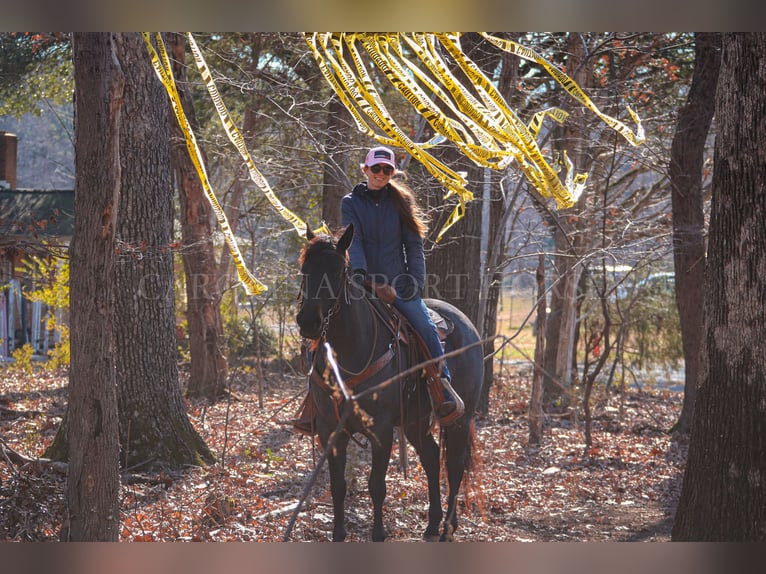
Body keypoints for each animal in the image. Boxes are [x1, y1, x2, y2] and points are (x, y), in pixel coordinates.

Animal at [296, 223, 484, 544]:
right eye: (305, 269)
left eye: (339, 271)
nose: (308, 321)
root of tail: (467, 325)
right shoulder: (329, 430)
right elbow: (338, 486)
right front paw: (338, 534)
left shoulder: (381, 430)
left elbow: (376, 485)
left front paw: (379, 533)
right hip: (415, 422)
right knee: (432, 458)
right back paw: (432, 525)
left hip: (460, 418)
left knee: (454, 464)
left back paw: (448, 528)